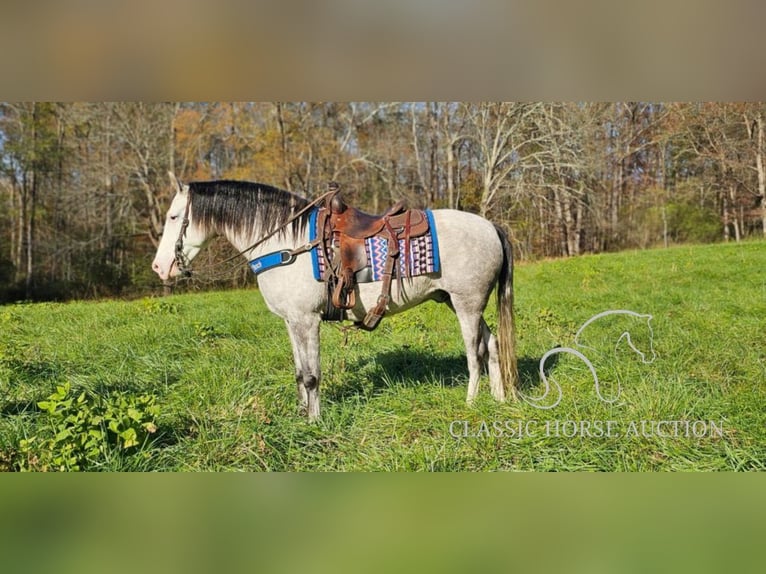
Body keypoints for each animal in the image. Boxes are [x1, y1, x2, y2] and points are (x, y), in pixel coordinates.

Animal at [152, 173, 520, 420]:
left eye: (173, 216)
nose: (159, 267)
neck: (287, 243)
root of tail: (491, 226)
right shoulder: (292, 322)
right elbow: (299, 372)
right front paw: (301, 415)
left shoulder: (307, 320)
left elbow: (312, 375)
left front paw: (315, 422)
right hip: (461, 303)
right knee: (492, 345)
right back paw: (499, 399)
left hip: (467, 304)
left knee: (474, 354)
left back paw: (471, 403)